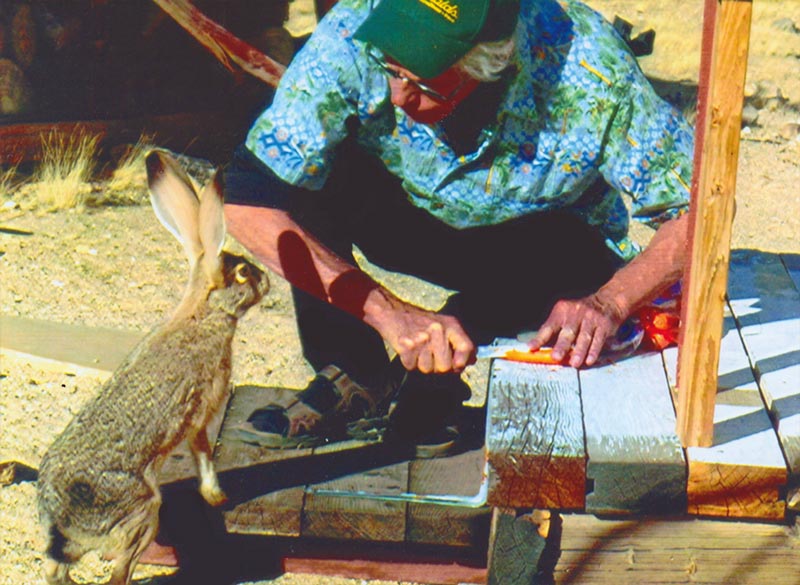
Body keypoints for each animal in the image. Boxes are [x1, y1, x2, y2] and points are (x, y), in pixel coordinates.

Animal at [36, 150, 270, 585]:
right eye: (243, 272)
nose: (267, 283)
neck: (204, 313)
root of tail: (62, 523)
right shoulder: (202, 411)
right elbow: (203, 455)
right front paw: (217, 497)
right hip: (144, 512)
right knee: (119, 573)